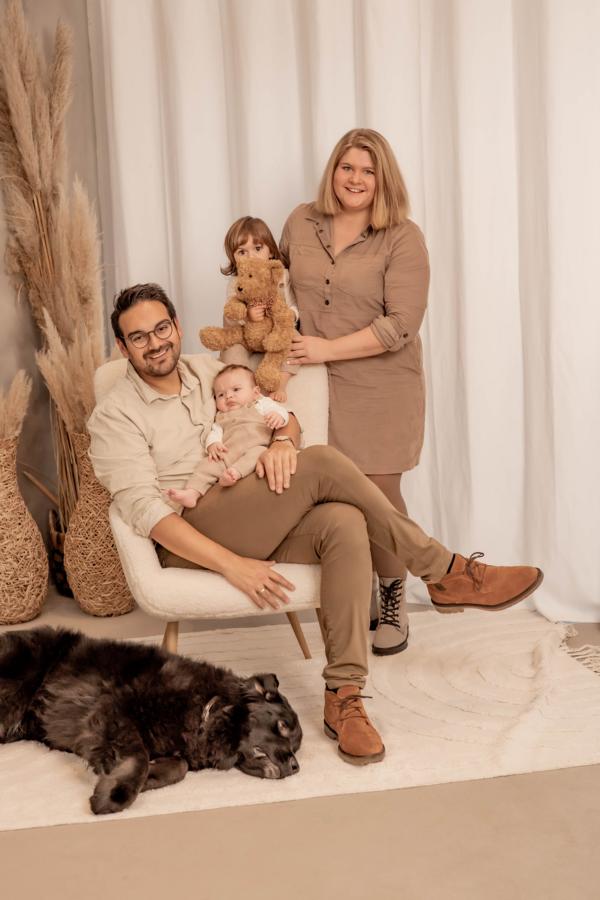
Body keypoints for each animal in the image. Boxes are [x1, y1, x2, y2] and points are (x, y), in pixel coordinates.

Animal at [0, 627, 302, 815]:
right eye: (282, 727)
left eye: (296, 747)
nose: (296, 766)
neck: (207, 709)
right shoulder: (113, 711)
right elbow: (139, 757)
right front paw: (115, 794)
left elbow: (177, 767)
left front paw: (144, 778)